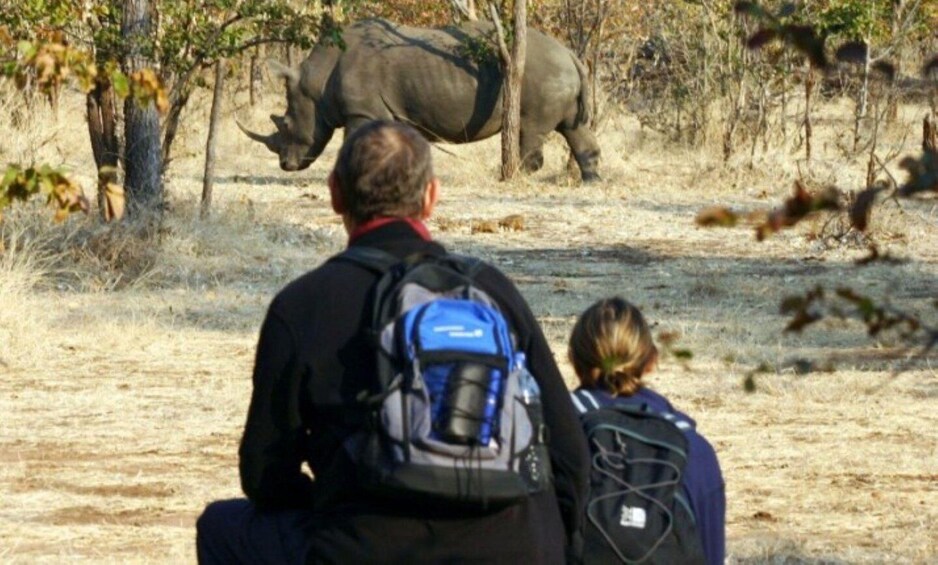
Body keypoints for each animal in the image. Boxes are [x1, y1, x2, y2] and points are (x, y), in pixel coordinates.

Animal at [239, 18, 601, 181]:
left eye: (286, 124)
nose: (285, 166)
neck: (316, 81)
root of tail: (570, 54)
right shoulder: (388, 111)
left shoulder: (362, 111)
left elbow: (353, 143)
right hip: (560, 72)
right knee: (575, 129)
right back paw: (590, 182)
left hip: (542, 73)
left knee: (531, 129)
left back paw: (517, 177)